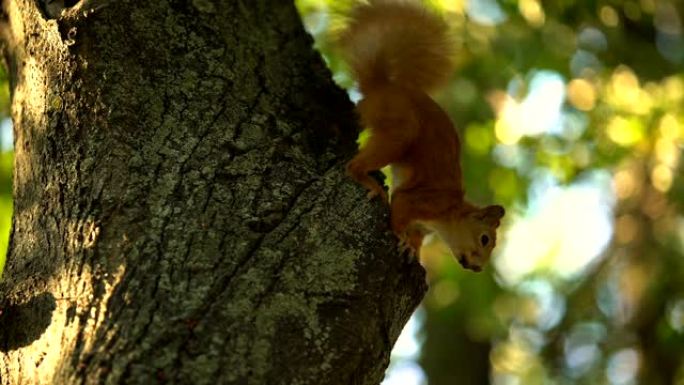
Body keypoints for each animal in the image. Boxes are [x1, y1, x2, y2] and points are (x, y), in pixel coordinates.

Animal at [340, 0, 504, 272]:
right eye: (484, 239)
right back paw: (370, 183)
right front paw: (401, 238)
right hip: (400, 130)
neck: (448, 215)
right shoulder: (419, 200)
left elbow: (416, 238)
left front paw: (413, 250)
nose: (478, 268)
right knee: (353, 166)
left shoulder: (422, 225)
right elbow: (398, 214)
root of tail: (382, 87)